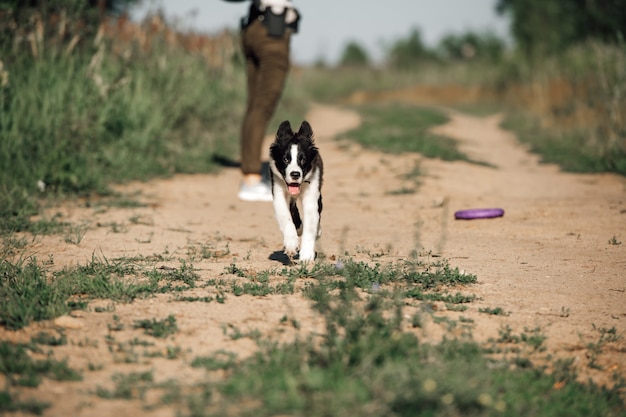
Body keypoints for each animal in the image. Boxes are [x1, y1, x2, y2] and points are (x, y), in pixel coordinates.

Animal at [268, 120, 322, 262]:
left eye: (302, 159)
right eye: (285, 159)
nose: (295, 174)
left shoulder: (312, 193)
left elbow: (310, 223)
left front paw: (307, 255)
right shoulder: (278, 192)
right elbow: (286, 216)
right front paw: (291, 244)